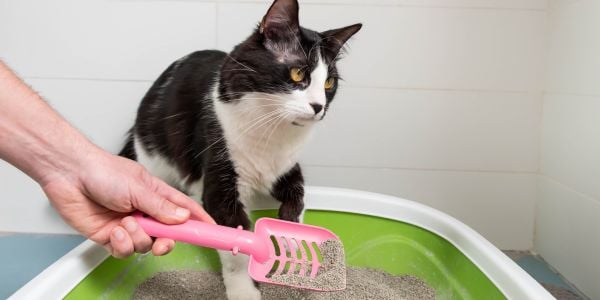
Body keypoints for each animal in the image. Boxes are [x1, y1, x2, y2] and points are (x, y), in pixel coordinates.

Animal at [119, 0, 358, 300]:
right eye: (298, 73)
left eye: (329, 83)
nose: (318, 107)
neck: (272, 130)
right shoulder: (220, 181)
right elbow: (238, 248)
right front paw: (245, 290)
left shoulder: (288, 167)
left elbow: (298, 197)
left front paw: (292, 243)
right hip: (153, 161)